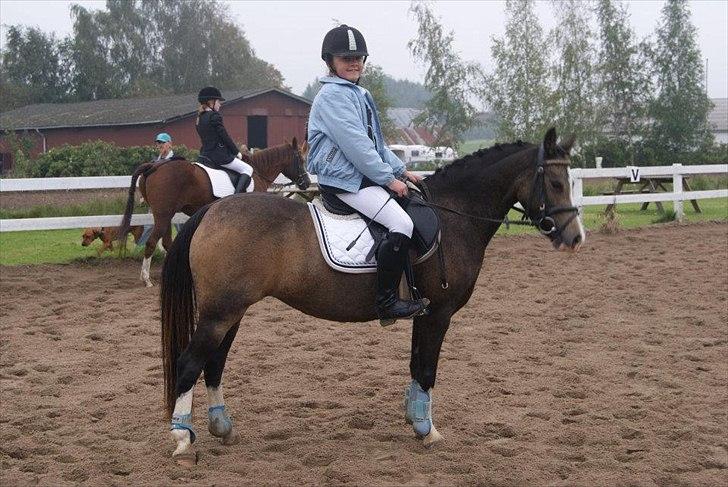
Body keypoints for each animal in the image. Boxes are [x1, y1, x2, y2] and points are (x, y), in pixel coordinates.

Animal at [118, 138, 310, 287]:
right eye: (301, 159)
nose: (306, 183)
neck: (258, 172)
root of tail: (154, 166)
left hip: (166, 215)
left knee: (165, 242)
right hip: (163, 215)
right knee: (152, 242)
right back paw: (146, 279)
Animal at [159, 128, 585, 465]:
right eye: (556, 183)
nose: (575, 237)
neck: (453, 214)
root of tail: (211, 211)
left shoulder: (423, 314)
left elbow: (415, 366)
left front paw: (415, 418)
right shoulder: (438, 314)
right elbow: (426, 370)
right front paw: (428, 431)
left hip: (230, 312)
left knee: (213, 363)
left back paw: (222, 426)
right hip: (220, 313)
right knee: (189, 363)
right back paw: (181, 438)